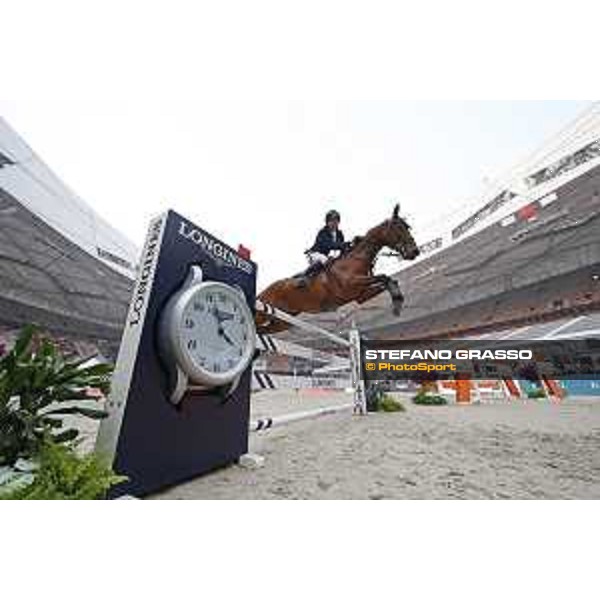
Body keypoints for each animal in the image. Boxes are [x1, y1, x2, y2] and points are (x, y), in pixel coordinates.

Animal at [255, 202, 420, 332]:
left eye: (408, 227)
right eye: (398, 229)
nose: (415, 252)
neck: (355, 260)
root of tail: (262, 292)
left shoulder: (361, 295)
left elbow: (388, 280)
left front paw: (397, 301)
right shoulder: (350, 284)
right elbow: (383, 277)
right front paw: (397, 301)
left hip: (284, 321)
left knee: (264, 330)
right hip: (266, 314)